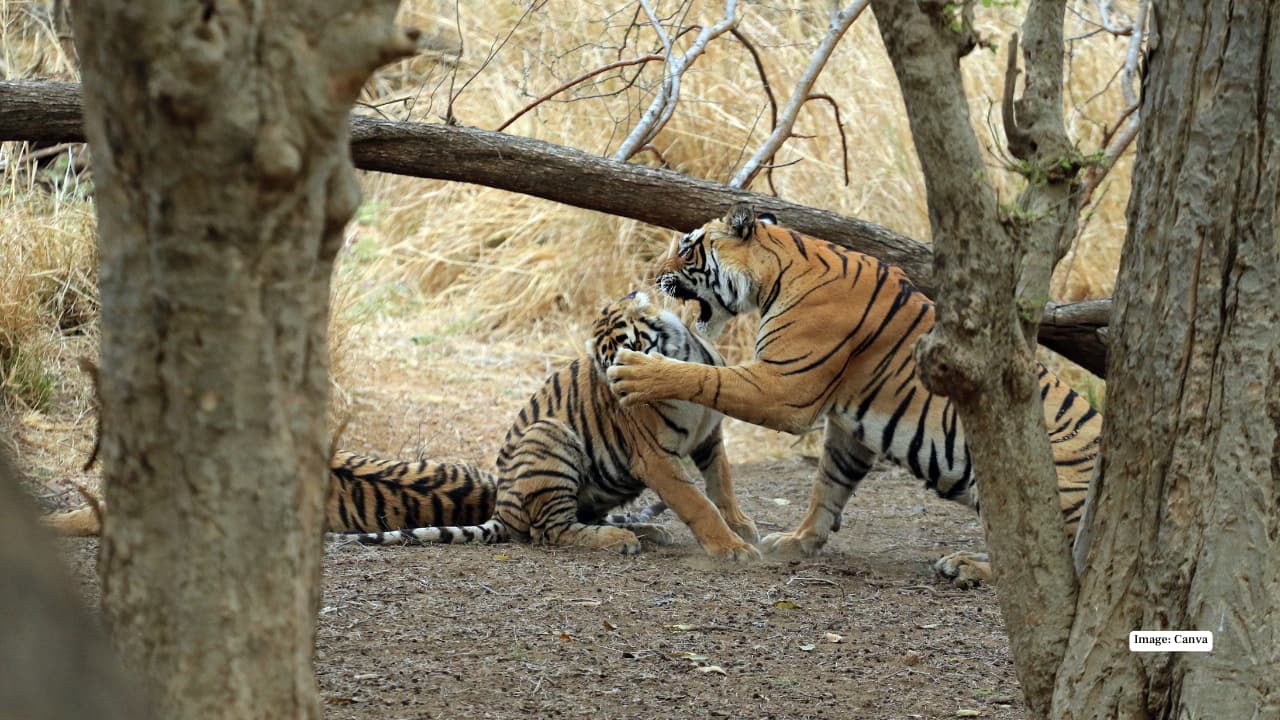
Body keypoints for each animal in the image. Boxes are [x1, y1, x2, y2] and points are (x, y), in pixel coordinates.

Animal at [606, 203, 1102, 586]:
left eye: (686, 248)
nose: (653, 275)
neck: (776, 273)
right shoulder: (851, 427)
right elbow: (828, 486)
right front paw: (798, 542)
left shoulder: (783, 387)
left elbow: (705, 376)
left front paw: (638, 371)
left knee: (1045, 562)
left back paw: (965, 566)